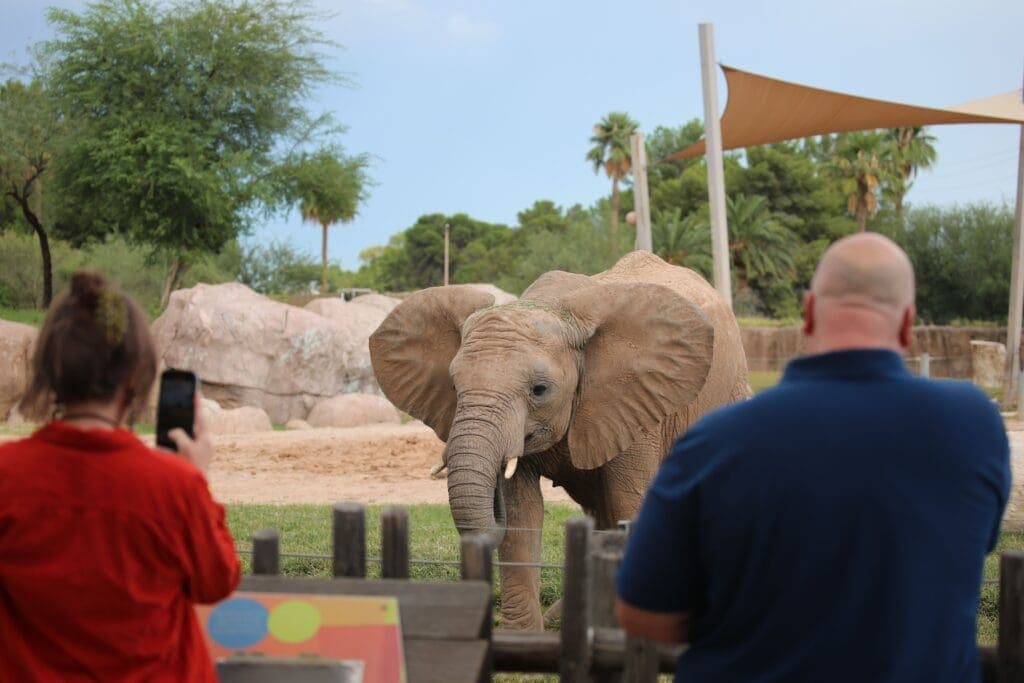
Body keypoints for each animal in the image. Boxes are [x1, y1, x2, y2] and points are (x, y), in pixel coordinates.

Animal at [369, 251, 750, 630]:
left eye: (540, 390)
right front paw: (523, 636)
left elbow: (630, 502)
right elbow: (521, 513)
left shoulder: (638, 403)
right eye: (453, 385)